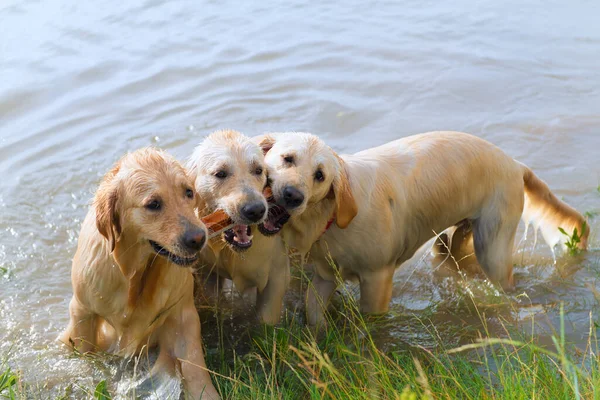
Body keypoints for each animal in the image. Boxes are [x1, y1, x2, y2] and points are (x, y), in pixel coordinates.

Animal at [59, 148, 220, 398]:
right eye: (153, 204)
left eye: (188, 192)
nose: (198, 238)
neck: (135, 276)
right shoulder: (82, 311)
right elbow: (88, 358)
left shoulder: (183, 314)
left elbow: (194, 367)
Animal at [188, 130, 290, 324]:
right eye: (220, 173)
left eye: (258, 170)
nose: (256, 210)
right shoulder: (207, 273)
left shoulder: (277, 274)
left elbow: (266, 318)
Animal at [255, 131, 588, 324]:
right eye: (287, 158)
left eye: (320, 175)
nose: (292, 196)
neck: (333, 216)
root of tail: (516, 164)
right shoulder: (325, 275)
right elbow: (313, 315)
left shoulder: (377, 279)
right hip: (460, 234)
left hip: (493, 247)